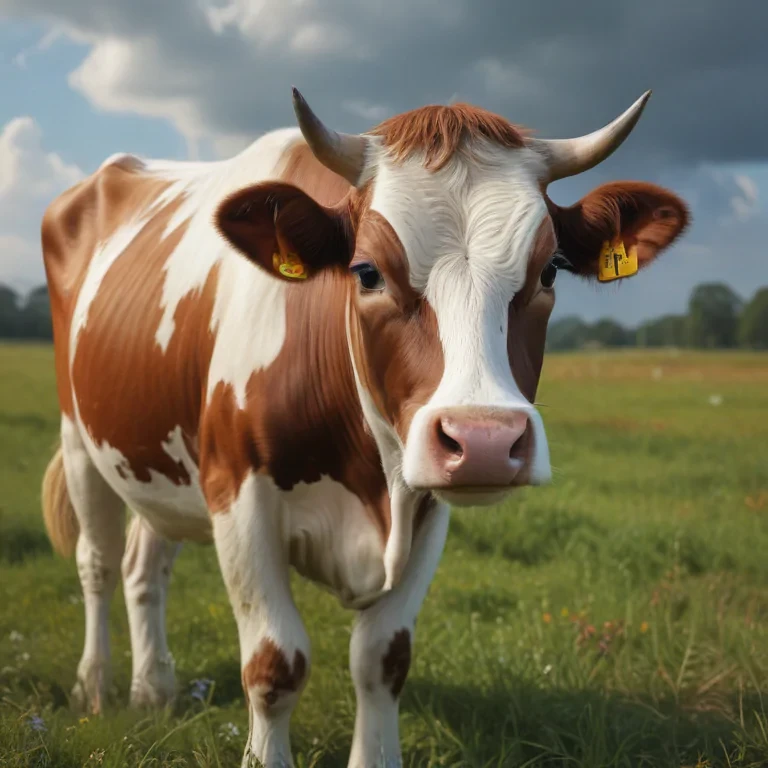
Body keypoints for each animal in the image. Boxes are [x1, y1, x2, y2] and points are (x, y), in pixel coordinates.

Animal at [39, 87, 689, 767]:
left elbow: (383, 659)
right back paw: (95, 686)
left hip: (156, 455)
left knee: (146, 567)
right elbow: (274, 662)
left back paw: (154, 691)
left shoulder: (428, 509)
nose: (484, 441)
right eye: (368, 271)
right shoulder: (237, 493)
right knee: (98, 563)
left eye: (550, 272)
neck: (372, 482)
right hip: (80, 438)